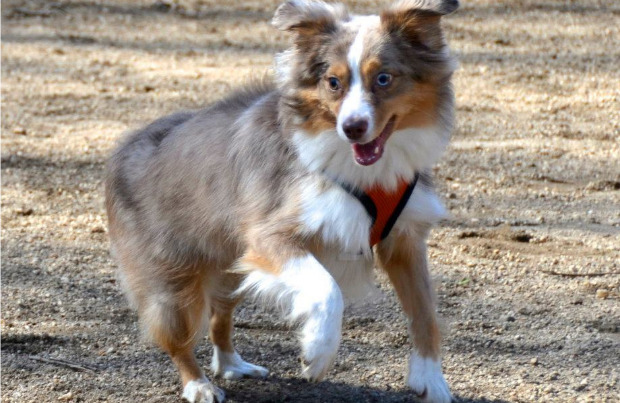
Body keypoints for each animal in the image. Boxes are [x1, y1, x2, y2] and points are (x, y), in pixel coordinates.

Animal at [104, 1, 458, 402]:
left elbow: (425, 313)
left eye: (384, 78)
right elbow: (327, 288)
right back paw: (199, 384)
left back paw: (232, 364)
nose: (351, 128)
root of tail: (128, 144)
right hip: (175, 280)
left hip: (231, 263)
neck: (362, 172)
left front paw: (431, 380)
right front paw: (317, 353)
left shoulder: (404, 240)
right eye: (332, 82)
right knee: (178, 336)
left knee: (219, 315)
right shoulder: (270, 234)